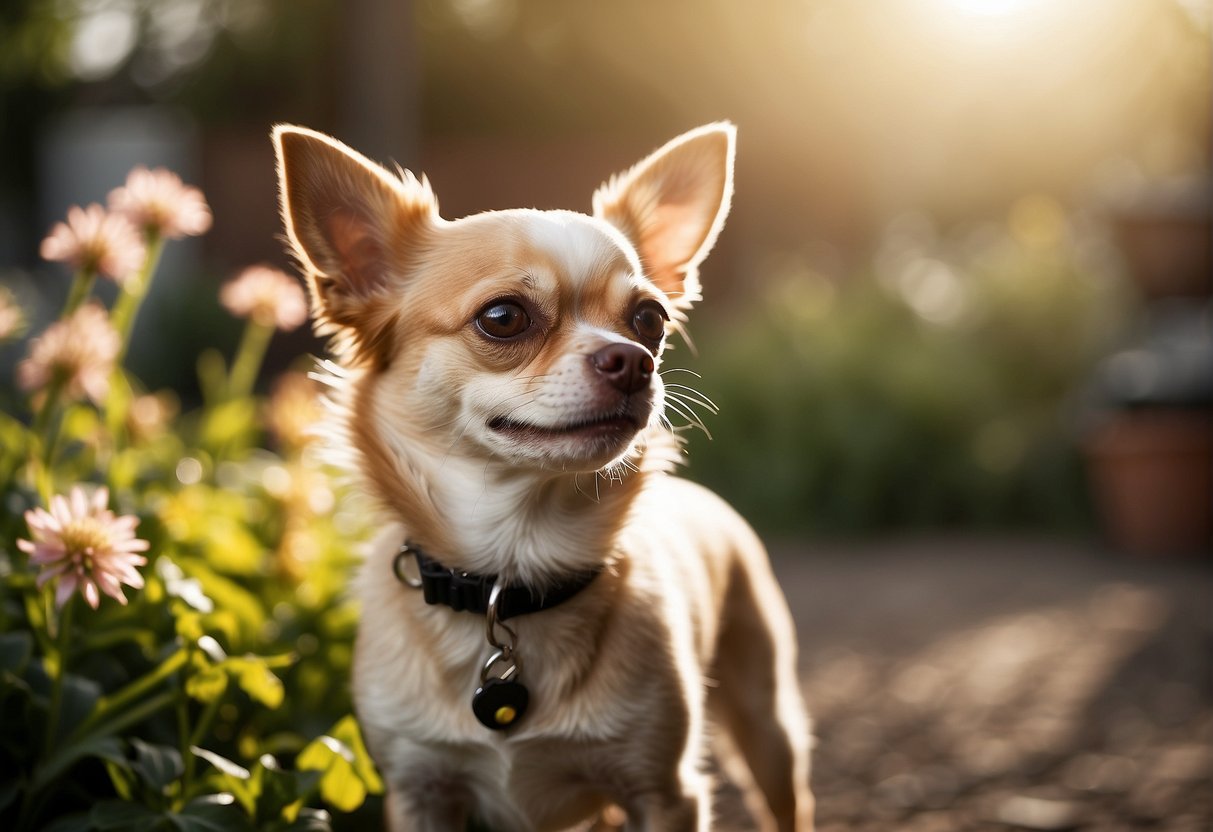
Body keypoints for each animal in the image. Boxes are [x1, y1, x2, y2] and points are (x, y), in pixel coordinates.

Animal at [275, 123, 815, 832]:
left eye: (650, 319)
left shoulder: (664, 792)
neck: (512, 573)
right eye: (503, 317)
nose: (634, 361)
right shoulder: (421, 790)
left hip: (765, 719)